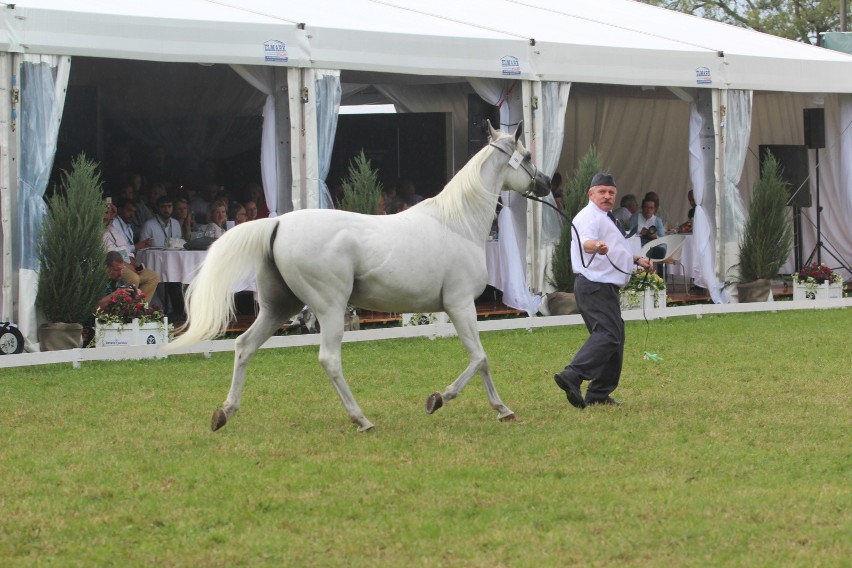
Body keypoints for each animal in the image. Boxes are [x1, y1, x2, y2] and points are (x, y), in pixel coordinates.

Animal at [166, 123, 552, 430]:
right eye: (527, 154)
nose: (546, 184)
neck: (457, 223)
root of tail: (277, 224)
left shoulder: (457, 307)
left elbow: (480, 359)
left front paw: (491, 407)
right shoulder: (460, 306)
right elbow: (480, 358)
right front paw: (450, 400)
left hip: (278, 307)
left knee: (244, 346)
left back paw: (225, 412)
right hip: (330, 308)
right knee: (329, 359)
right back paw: (361, 419)